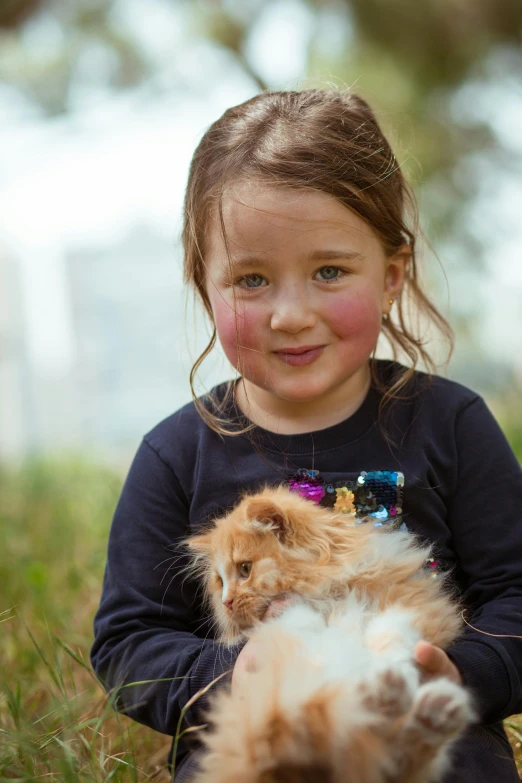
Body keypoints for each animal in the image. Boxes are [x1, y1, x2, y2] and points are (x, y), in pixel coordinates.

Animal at [185, 484, 474, 783]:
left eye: (245, 569)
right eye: (220, 583)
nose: (227, 602)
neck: (327, 594)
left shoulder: (414, 607)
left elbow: (391, 634)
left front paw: (392, 666)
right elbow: (304, 627)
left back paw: (422, 705)